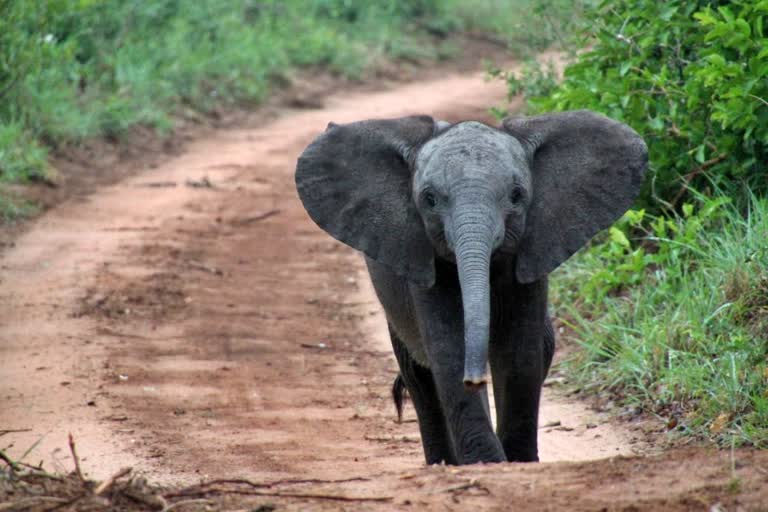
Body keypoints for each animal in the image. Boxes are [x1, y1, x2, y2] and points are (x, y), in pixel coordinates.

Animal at [294, 111, 648, 464]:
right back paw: (443, 462)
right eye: (429, 200)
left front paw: (519, 461)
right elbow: (449, 349)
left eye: (517, 195)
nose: (475, 380)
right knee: (417, 375)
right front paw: (486, 462)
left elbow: (520, 352)